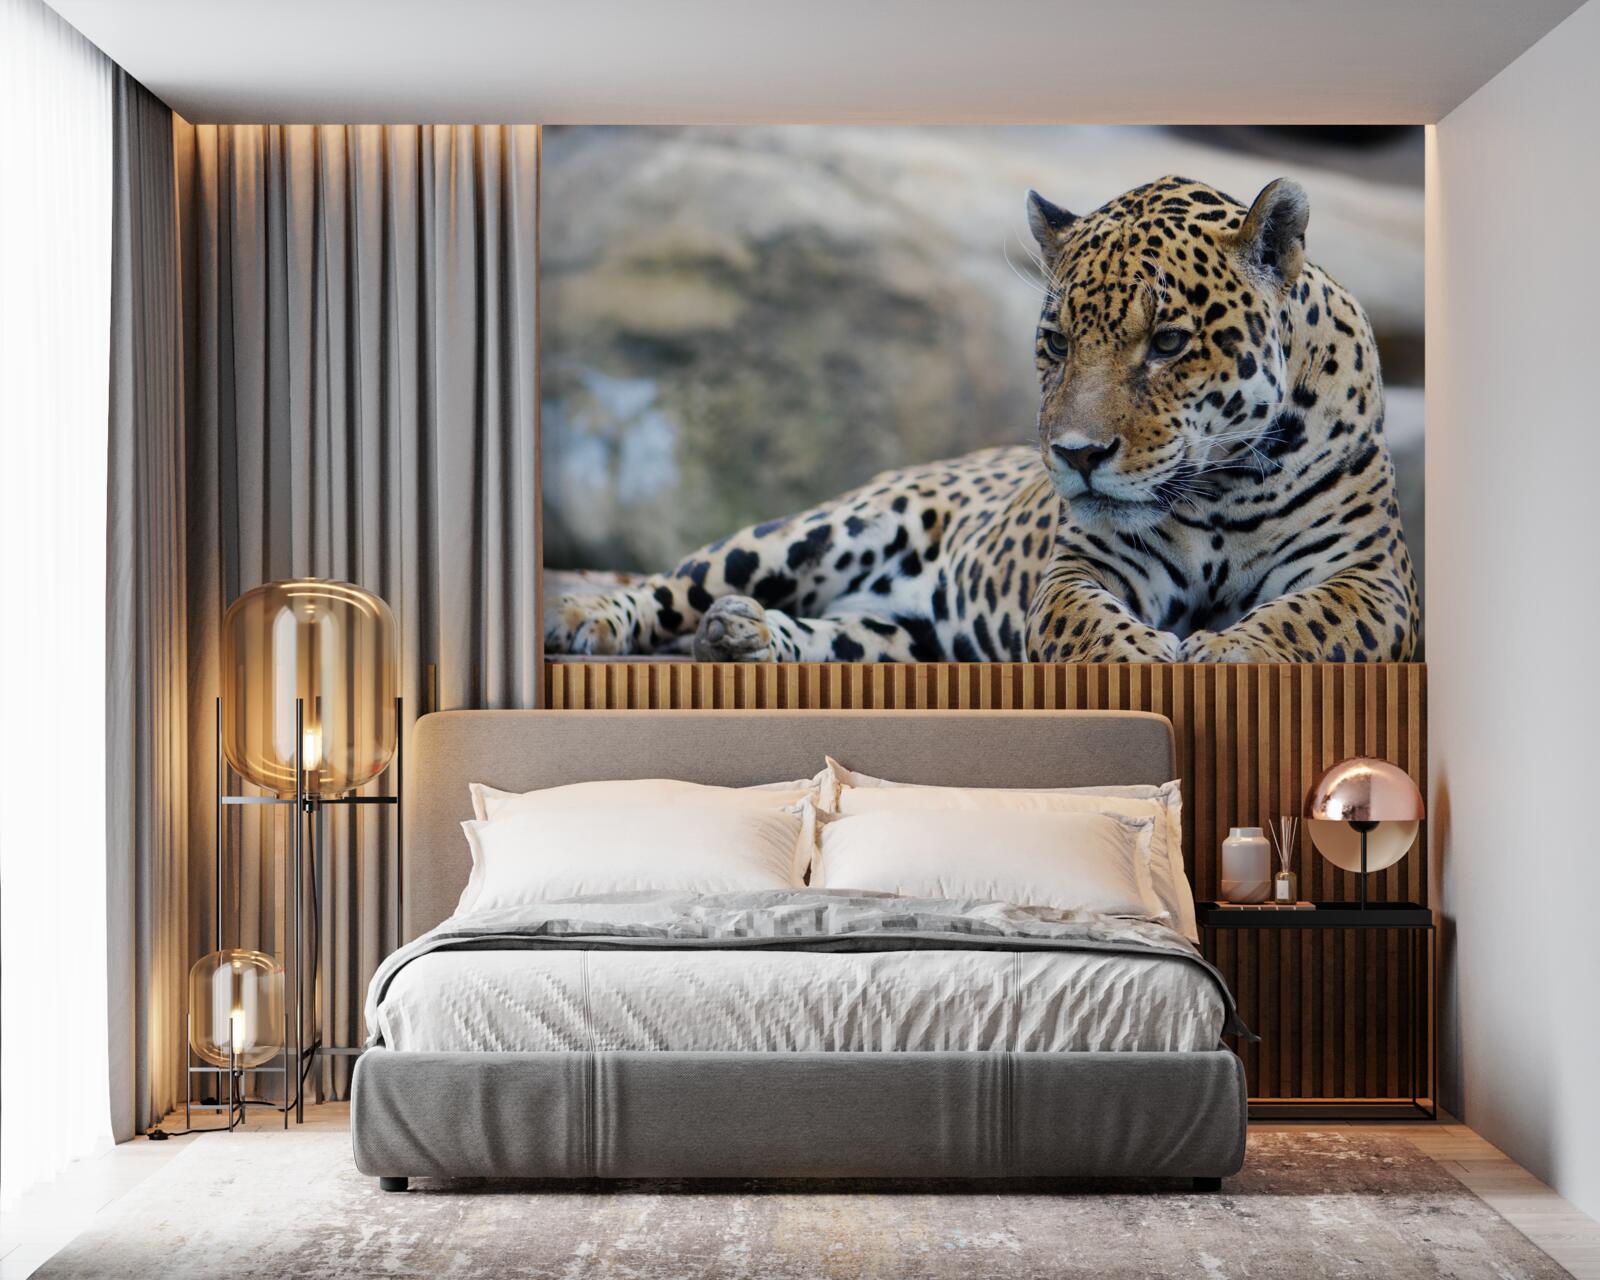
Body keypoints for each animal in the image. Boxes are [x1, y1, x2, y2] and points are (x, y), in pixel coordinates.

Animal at [545, 175, 1418, 664]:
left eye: (1169, 342)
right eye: (1058, 344)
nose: (1077, 455)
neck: (1219, 493)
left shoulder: (1372, 581)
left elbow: (1306, 621)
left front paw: (1228, 651)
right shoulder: (1080, 568)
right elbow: (1086, 626)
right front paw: (1143, 657)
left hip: (902, 639)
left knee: (839, 635)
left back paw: (747, 636)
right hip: (830, 528)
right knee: (679, 584)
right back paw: (590, 617)